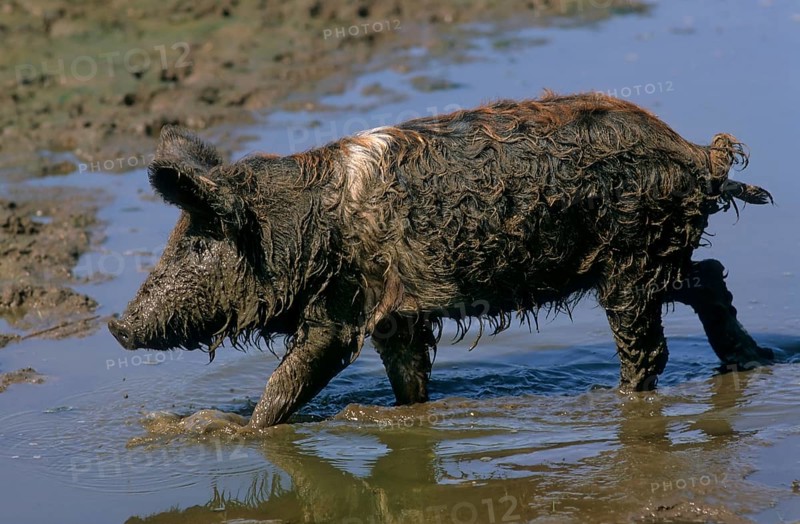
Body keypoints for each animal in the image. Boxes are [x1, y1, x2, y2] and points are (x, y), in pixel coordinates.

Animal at [109, 91, 773, 429]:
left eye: (197, 243)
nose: (117, 325)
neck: (298, 232)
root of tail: (698, 155)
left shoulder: (342, 308)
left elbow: (292, 375)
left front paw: (231, 431)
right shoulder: (394, 318)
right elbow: (408, 380)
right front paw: (410, 416)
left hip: (629, 264)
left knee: (649, 348)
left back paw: (620, 401)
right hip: (654, 257)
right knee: (708, 278)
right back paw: (753, 360)